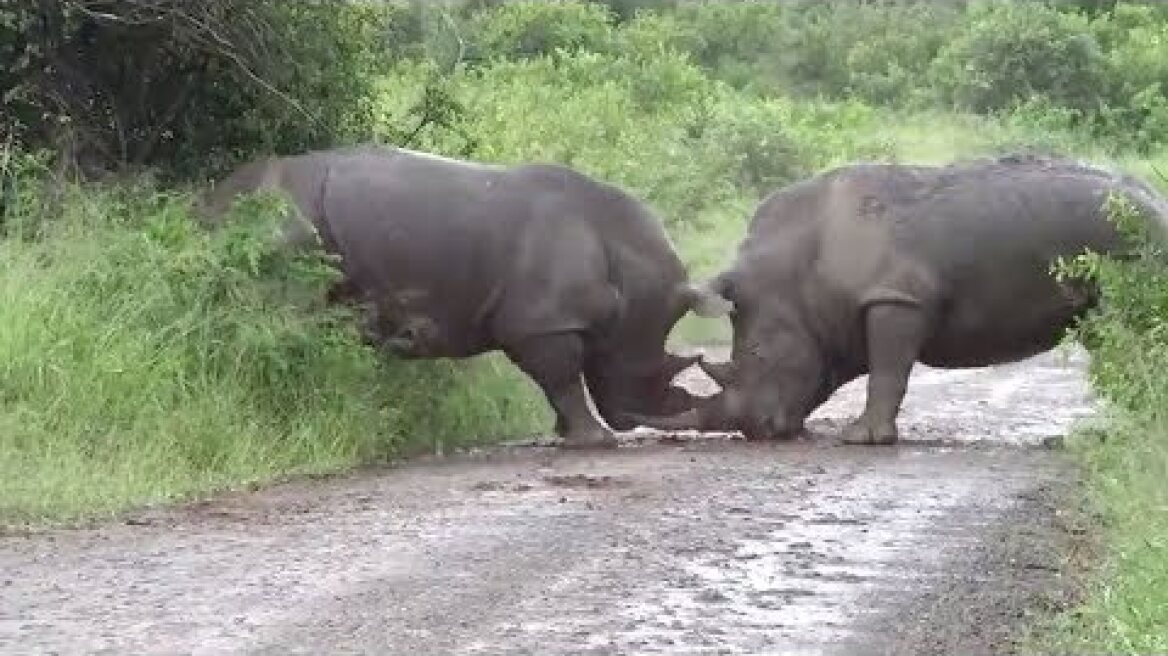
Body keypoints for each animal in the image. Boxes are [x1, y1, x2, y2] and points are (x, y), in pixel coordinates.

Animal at [197, 145, 719, 448]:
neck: (627, 267)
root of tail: (205, 209)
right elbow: (563, 376)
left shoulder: (551, 318)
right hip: (284, 225)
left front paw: (566, 434)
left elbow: (562, 379)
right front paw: (596, 440)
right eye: (655, 369)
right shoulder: (541, 320)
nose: (648, 417)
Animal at [641, 156, 1168, 444]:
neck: (799, 272)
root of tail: (1158, 203)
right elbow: (883, 371)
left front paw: (862, 440)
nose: (758, 431)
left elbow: (889, 372)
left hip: (1131, 245)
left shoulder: (896, 298)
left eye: (757, 356)